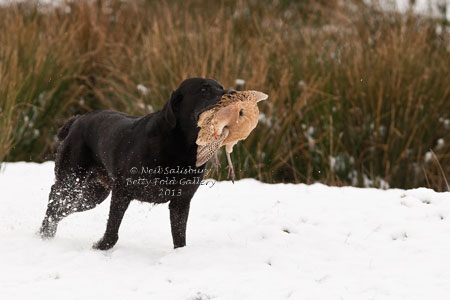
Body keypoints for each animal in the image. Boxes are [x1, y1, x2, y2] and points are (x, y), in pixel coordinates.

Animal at [40, 77, 234, 248]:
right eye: (204, 89)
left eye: (221, 86)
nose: (232, 92)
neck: (181, 146)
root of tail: (76, 120)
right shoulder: (122, 191)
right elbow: (112, 230)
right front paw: (101, 247)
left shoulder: (181, 201)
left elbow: (179, 237)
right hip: (71, 179)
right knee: (54, 199)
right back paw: (44, 235)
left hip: (92, 194)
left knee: (60, 209)